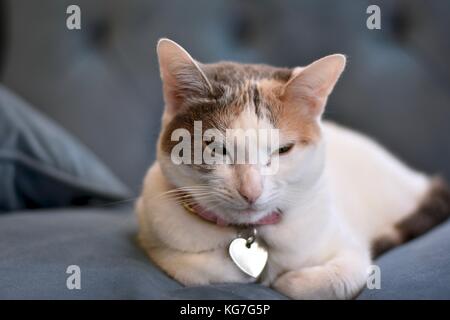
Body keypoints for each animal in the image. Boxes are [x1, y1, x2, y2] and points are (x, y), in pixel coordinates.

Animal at [137, 38, 450, 298]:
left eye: (283, 150)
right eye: (217, 149)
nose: (251, 191)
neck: (250, 233)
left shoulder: (351, 253)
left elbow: (337, 279)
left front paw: (287, 280)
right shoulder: (151, 225)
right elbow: (197, 269)